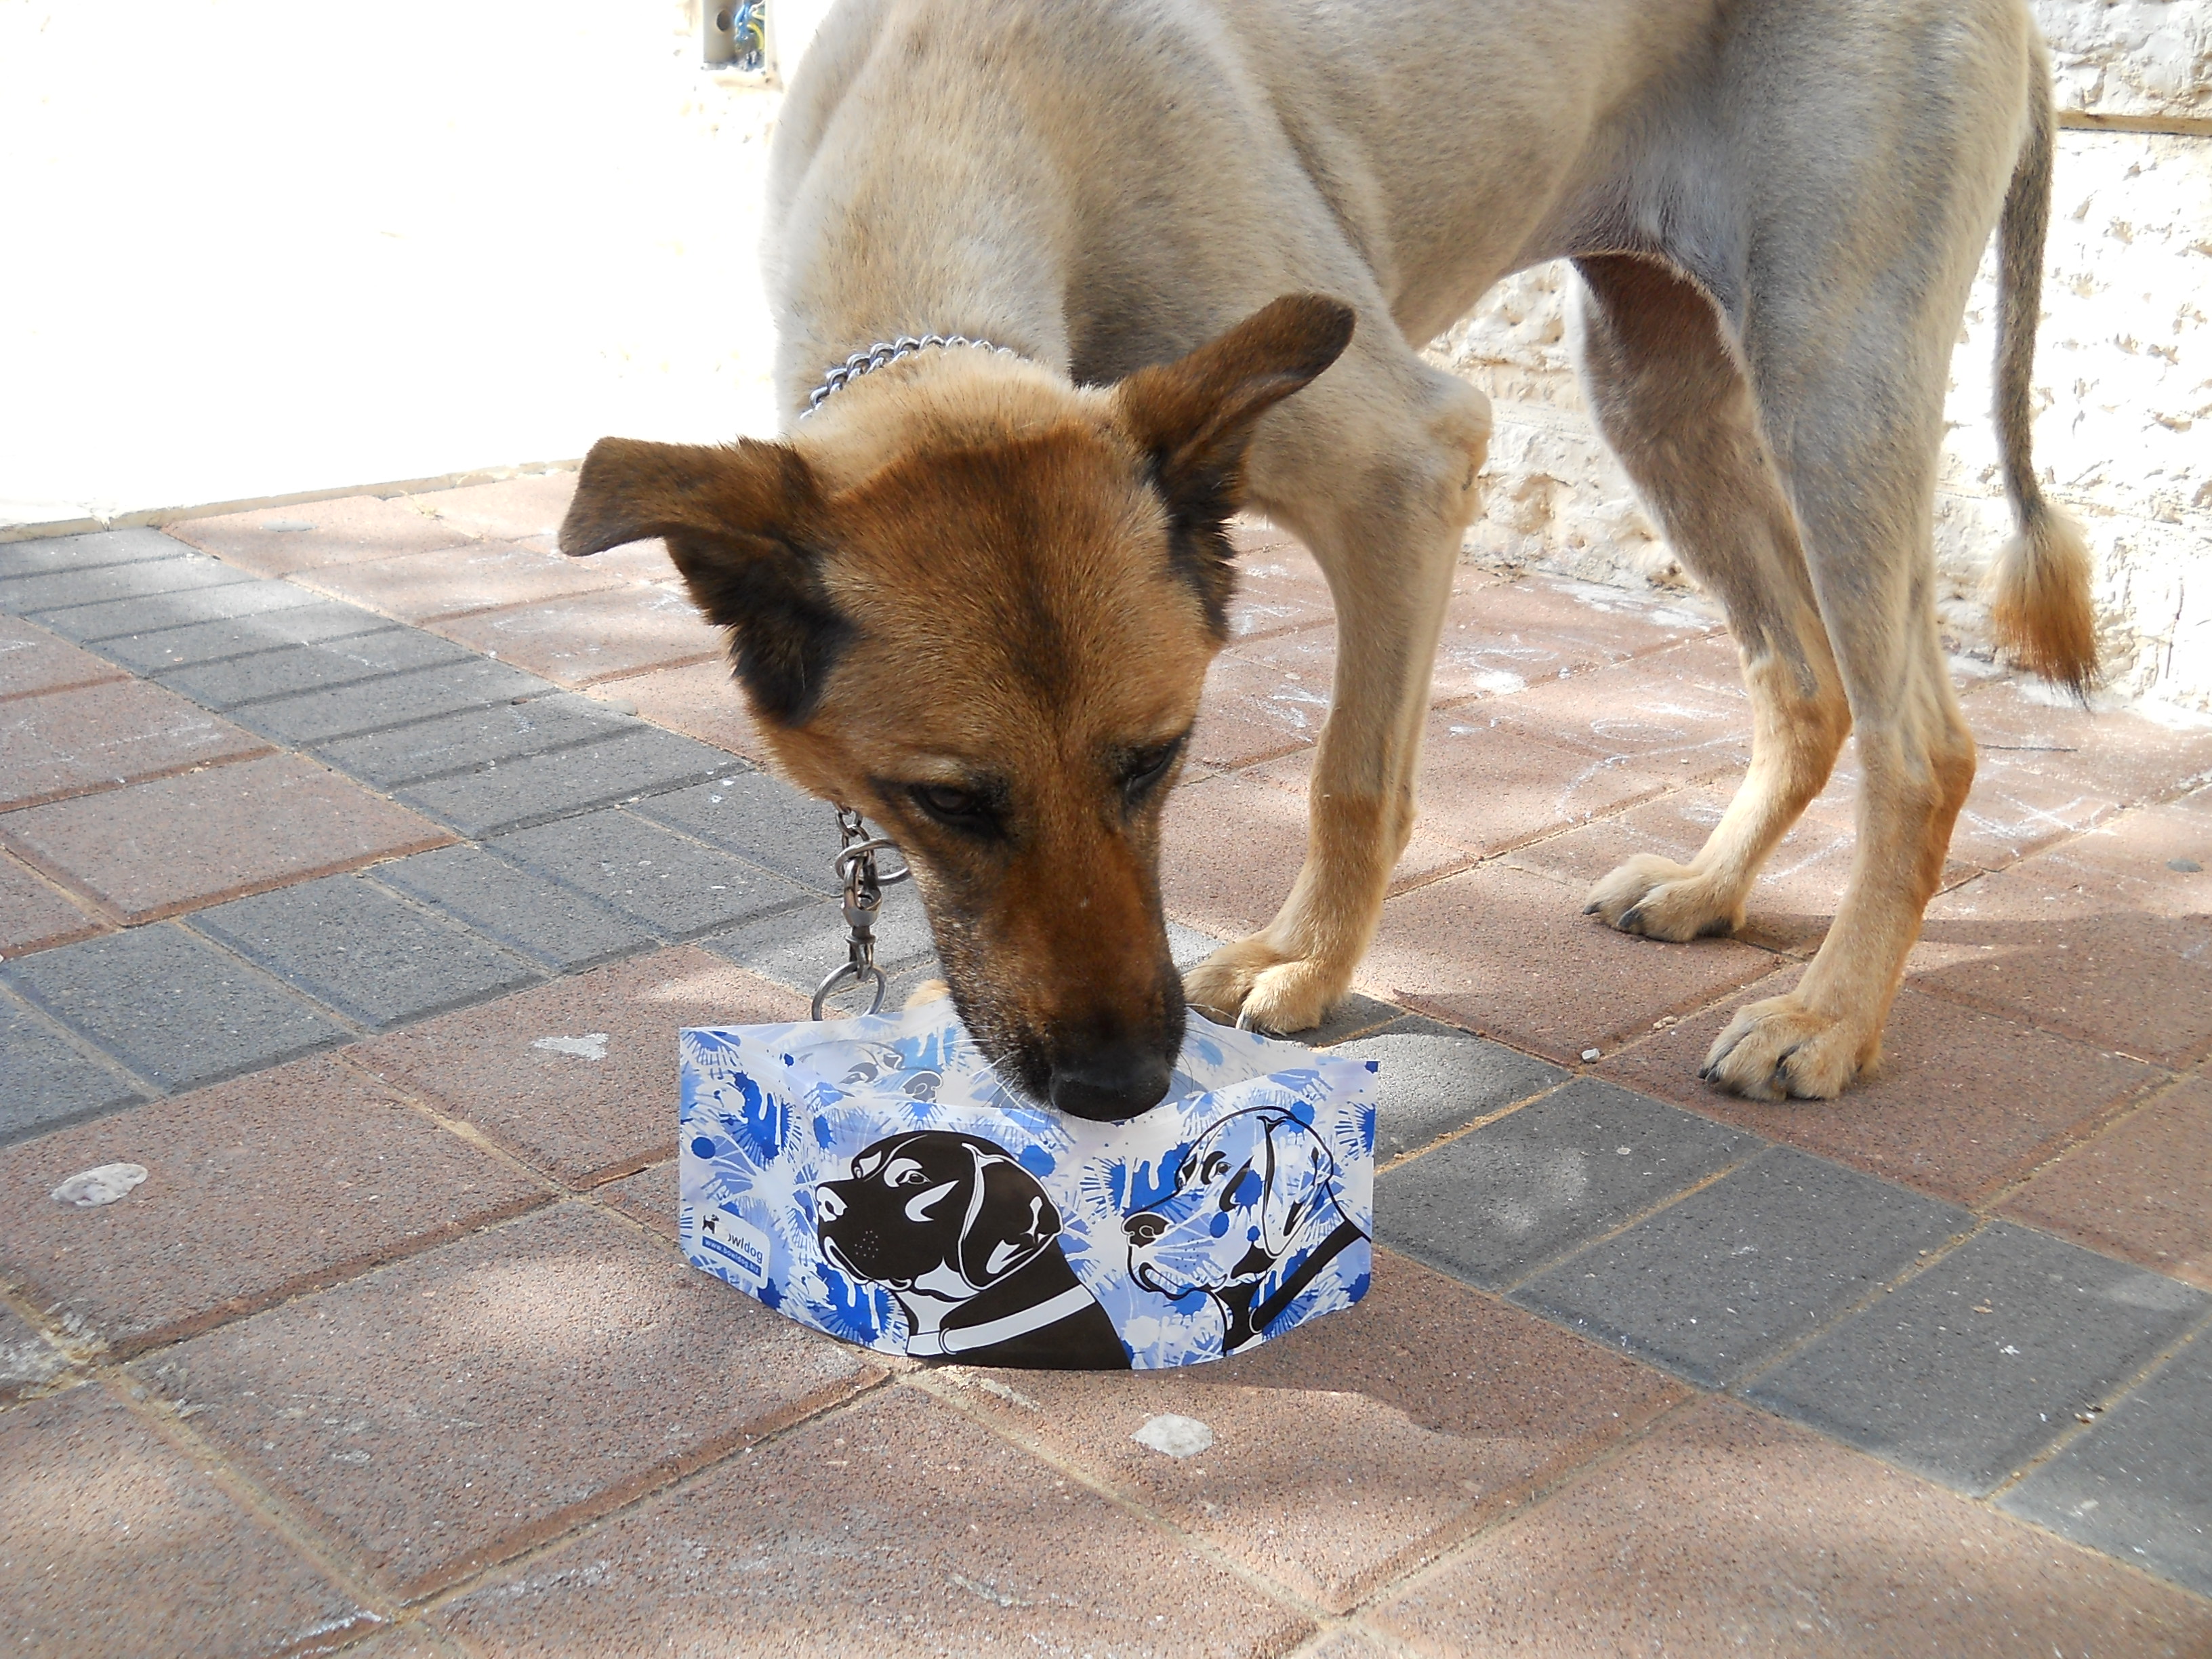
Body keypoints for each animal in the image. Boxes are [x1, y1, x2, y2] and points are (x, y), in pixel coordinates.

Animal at [553, 0, 2088, 1124]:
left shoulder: (1408, 468)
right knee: (1802, 683)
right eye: (942, 801)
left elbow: (1350, 781)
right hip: (1653, 387)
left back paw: (1830, 1013)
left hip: (1830, 382)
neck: (961, 101)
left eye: (1160, 759)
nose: (1123, 1086)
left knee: (1922, 743)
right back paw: (1712, 889)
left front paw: (1311, 960)